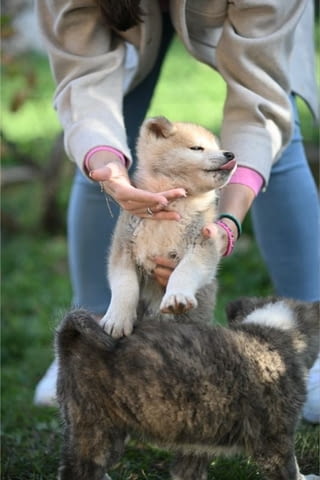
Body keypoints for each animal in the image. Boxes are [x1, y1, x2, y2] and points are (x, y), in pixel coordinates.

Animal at [56, 296, 318, 480]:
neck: (273, 332)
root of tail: (71, 337)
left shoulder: (199, 440)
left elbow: (187, 471)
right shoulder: (274, 439)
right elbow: (290, 470)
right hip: (97, 427)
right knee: (78, 470)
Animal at [101, 117, 236, 338]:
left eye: (217, 147)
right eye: (197, 148)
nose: (230, 154)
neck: (174, 207)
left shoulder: (202, 242)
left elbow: (184, 272)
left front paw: (176, 296)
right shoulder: (124, 247)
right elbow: (125, 285)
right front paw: (117, 318)